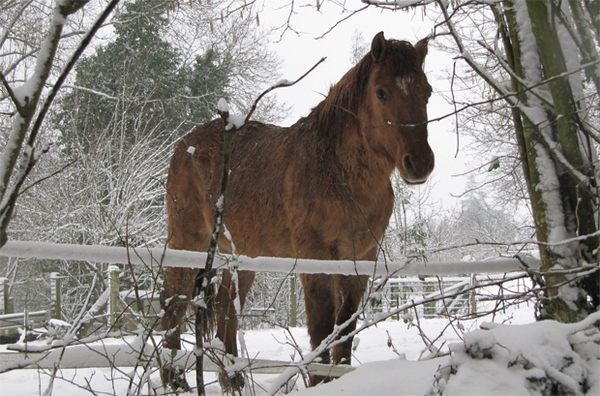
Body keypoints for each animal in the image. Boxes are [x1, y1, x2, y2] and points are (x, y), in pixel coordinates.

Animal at [158, 31, 432, 390]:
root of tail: (183, 146)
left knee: (225, 312)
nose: (420, 163)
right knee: (172, 305)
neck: (334, 170)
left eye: (427, 91)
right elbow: (322, 328)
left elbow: (344, 331)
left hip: (239, 259)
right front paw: (319, 382)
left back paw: (234, 380)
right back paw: (174, 380)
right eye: (382, 92)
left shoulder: (359, 259)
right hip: (188, 245)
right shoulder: (315, 259)